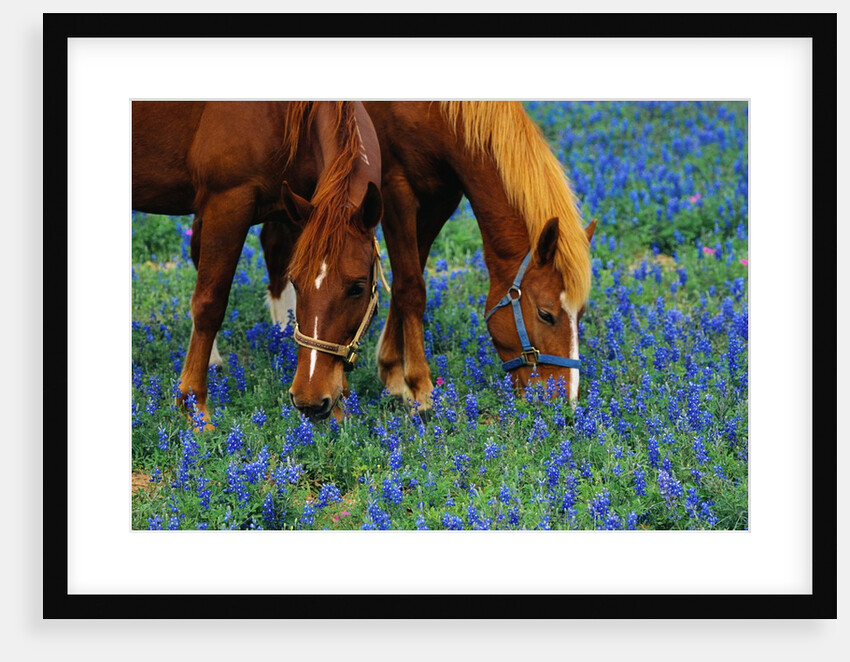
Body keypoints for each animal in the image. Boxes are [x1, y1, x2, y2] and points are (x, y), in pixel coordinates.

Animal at [132, 101, 382, 428]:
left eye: (357, 288)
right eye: (297, 283)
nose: (310, 400)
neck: (281, 114)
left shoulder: (298, 209)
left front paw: (343, 407)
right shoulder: (227, 203)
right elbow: (209, 303)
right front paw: (194, 406)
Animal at [261, 101, 595, 413]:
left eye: (581, 314)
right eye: (545, 314)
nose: (565, 402)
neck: (439, 111)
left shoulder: (441, 196)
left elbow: (408, 278)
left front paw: (392, 371)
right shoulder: (394, 188)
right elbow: (411, 287)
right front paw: (420, 388)